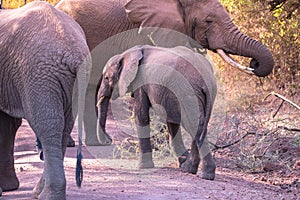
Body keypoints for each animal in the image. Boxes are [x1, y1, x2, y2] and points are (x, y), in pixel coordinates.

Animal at [0, 1, 90, 200]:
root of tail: (73, 52)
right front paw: (8, 188)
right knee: (63, 126)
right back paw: (40, 192)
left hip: (38, 74)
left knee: (48, 125)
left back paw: (47, 195)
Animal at [97, 45, 217, 180]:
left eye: (106, 78)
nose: (109, 140)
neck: (126, 54)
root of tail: (206, 81)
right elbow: (171, 121)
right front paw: (182, 160)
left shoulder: (141, 82)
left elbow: (141, 116)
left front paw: (143, 167)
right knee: (200, 126)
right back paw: (189, 169)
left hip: (187, 92)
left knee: (195, 126)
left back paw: (204, 174)